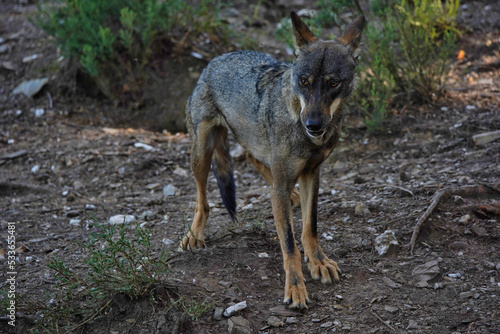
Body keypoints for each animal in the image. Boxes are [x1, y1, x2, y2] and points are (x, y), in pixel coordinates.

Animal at [180, 11, 364, 310]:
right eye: (304, 81)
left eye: (333, 83)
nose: (313, 124)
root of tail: (214, 61)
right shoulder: (286, 182)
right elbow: (289, 244)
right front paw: (296, 287)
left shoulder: (313, 174)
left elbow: (310, 227)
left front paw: (318, 262)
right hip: (201, 154)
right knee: (203, 200)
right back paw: (195, 235)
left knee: (250, 158)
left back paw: (292, 196)